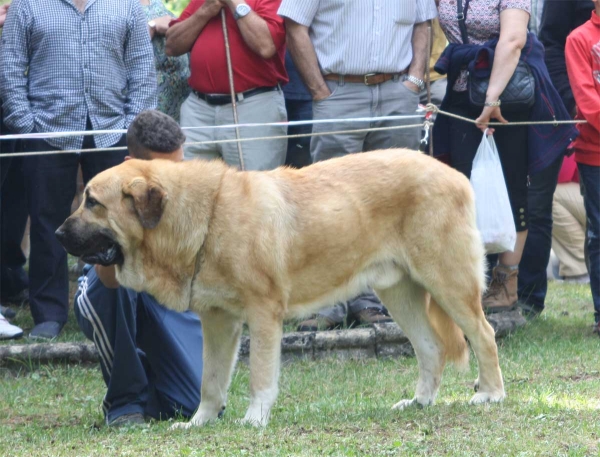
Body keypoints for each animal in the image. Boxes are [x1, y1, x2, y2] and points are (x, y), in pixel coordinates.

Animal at [57, 150, 506, 428]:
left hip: (448, 281)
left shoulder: (263, 313)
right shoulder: (218, 321)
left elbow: (259, 375)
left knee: (485, 334)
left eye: (93, 202)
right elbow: (211, 381)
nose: (59, 234)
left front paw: (255, 419)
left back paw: (490, 394)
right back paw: (419, 402)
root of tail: (454, 173)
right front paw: (199, 423)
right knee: (430, 347)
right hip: (399, 292)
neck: (205, 216)